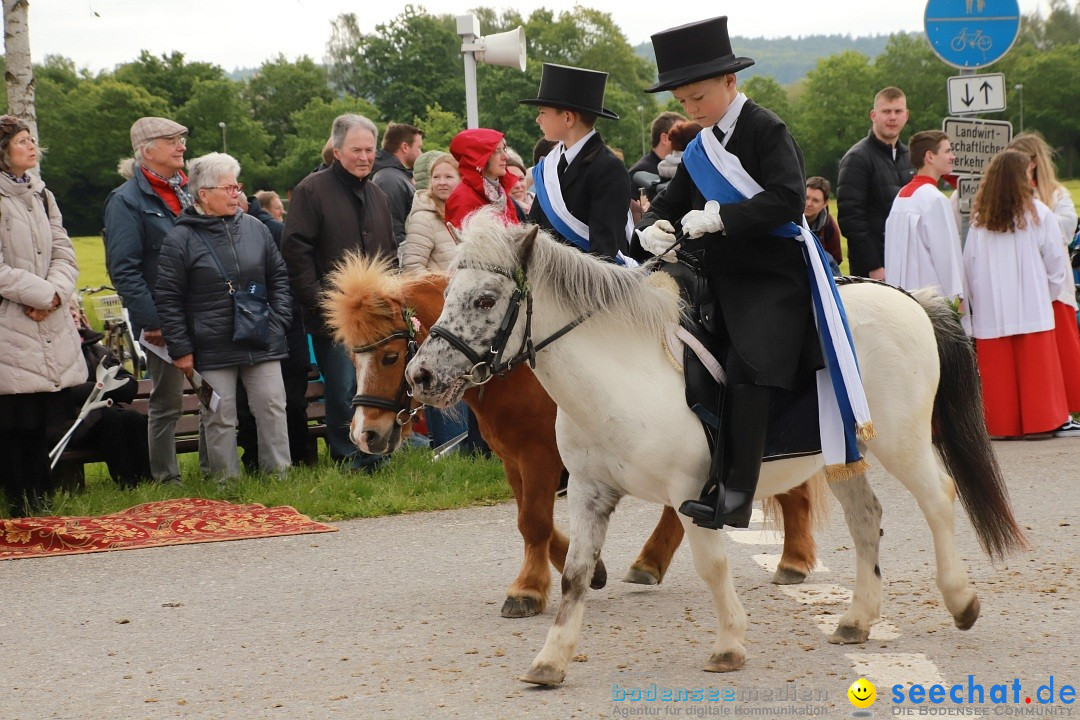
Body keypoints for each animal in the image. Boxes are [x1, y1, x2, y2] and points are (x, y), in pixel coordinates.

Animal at [324, 255, 812, 617]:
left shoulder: (540, 457)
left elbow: (533, 521)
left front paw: (527, 590)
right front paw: (585, 570)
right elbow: (529, 520)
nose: (366, 435)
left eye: (389, 357)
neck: (518, 364)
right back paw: (651, 561)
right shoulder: (516, 460)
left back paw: (795, 558)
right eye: (352, 354)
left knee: (793, 485)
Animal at [403, 208, 1019, 686]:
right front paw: (550, 661)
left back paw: (961, 600)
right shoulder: (588, 490)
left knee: (939, 498)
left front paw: (728, 645)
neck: (619, 375)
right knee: (868, 518)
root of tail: (911, 298)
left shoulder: (692, 491)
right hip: (845, 454)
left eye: (486, 300)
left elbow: (712, 564)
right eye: (447, 295)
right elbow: (576, 571)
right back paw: (857, 620)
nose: (421, 376)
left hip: (902, 441)